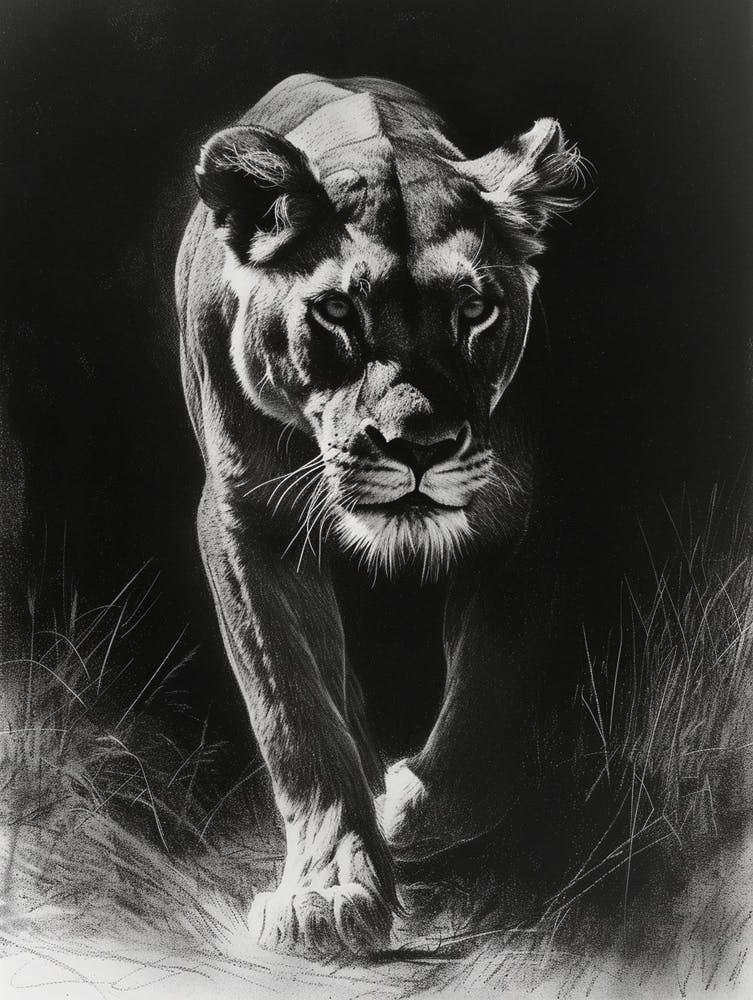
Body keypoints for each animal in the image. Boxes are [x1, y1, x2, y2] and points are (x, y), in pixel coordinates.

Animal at [175, 73, 585, 958]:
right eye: (335, 312)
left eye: (476, 309)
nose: (420, 446)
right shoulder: (244, 522)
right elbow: (295, 714)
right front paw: (327, 893)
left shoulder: (518, 516)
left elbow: (485, 717)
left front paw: (404, 810)